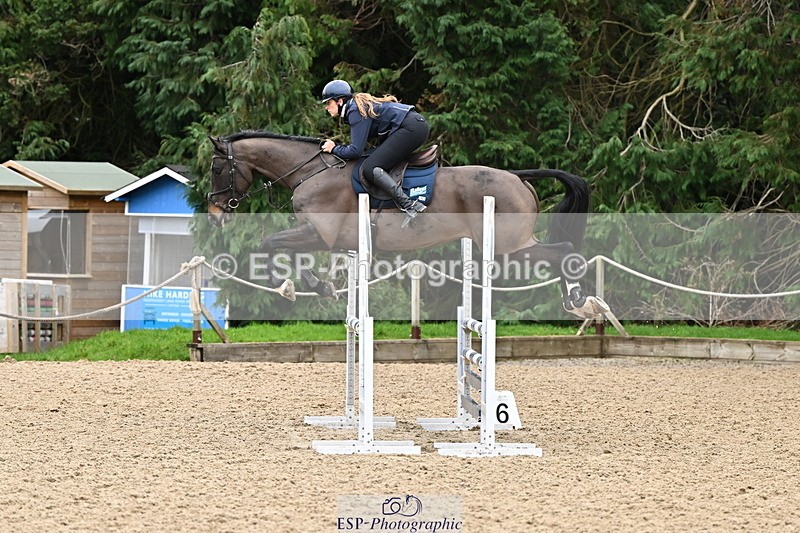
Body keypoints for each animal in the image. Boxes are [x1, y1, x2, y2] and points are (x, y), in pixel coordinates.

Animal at [205, 131, 609, 319]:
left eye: (216, 169)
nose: (214, 213)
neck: (311, 171)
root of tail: (518, 177)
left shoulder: (319, 234)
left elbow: (270, 244)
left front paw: (289, 286)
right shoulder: (325, 239)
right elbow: (286, 251)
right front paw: (318, 286)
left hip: (508, 246)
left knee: (564, 252)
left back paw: (579, 301)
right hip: (513, 245)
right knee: (560, 253)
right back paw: (576, 301)